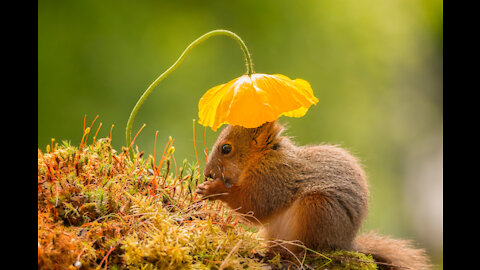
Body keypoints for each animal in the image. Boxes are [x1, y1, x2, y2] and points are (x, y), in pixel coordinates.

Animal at [195, 121, 432, 270]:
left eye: (226, 148)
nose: (207, 173)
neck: (262, 158)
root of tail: (345, 242)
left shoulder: (275, 180)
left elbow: (255, 205)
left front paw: (213, 189)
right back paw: (267, 254)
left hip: (317, 210)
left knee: (309, 251)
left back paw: (292, 257)